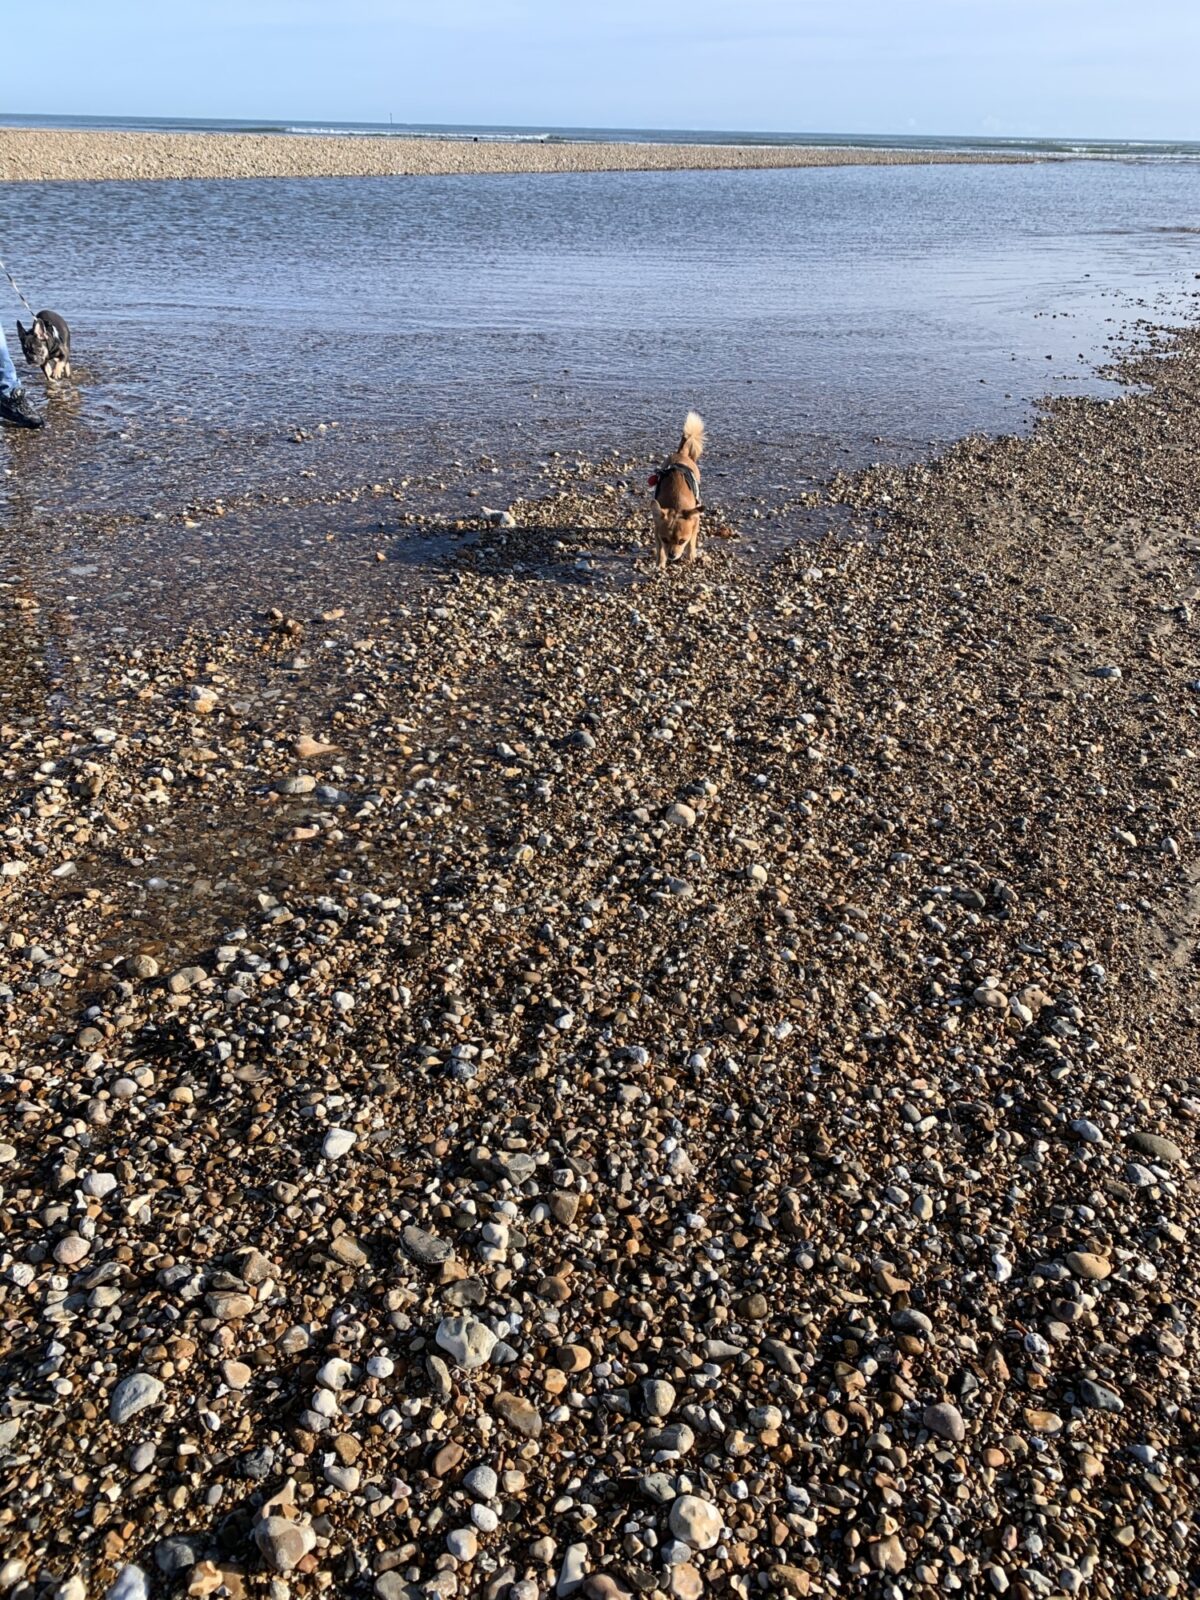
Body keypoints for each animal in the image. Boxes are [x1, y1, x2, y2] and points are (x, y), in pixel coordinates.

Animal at [652, 412, 710, 569]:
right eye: (665, 539)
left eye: (681, 541)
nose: (672, 555)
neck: (676, 504)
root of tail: (681, 453)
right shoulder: (657, 531)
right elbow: (660, 549)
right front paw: (660, 563)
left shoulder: (695, 524)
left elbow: (692, 542)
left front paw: (691, 556)